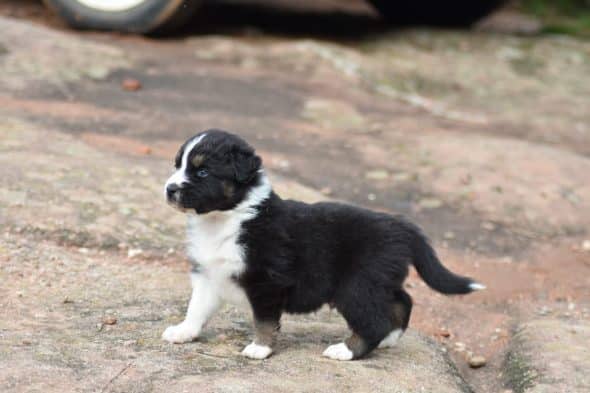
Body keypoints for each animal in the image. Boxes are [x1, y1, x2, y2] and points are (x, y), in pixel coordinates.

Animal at [162, 130, 486, 360]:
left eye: (202, 172)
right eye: (177, 165)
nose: (169, 189)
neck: (226, 218)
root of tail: (400, 225)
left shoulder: (267, 280)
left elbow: (264, 320)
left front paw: (260, 348)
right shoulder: (208, 273)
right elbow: (196, 308)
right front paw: (183, 332)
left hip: (356, 286)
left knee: (375, 320)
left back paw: (346, 350)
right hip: (379, 280)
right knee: (402, 301)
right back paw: (390, 340)